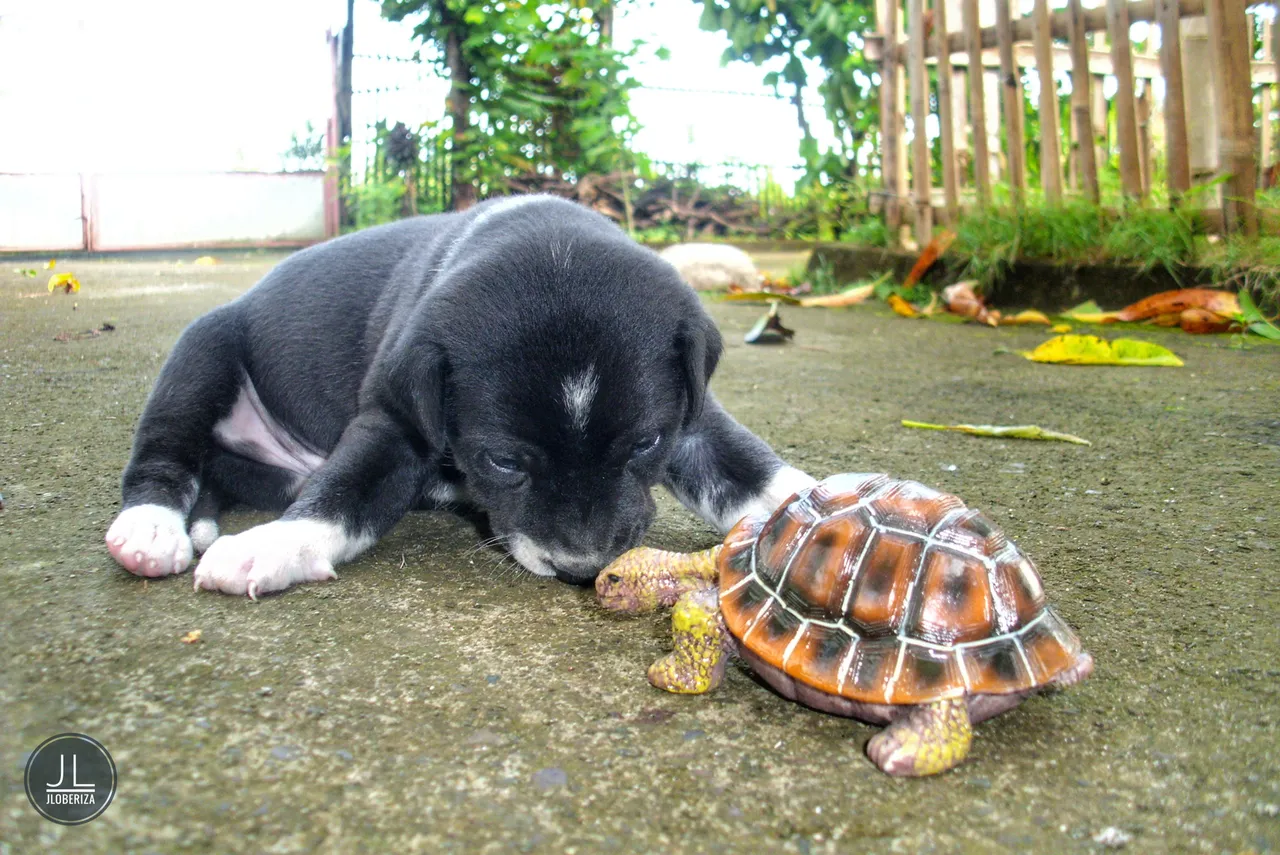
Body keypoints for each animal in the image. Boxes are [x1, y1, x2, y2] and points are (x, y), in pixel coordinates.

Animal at [107, 197, 808, 599]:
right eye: (503, 461)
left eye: (645, 444)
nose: (580, 570)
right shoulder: (396, 423)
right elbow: (342, 493)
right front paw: (274, 546)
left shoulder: (692, 416)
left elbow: (749, 468)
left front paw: (816, 509)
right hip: (201, 352)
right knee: (163, 455)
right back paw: (151, 530)